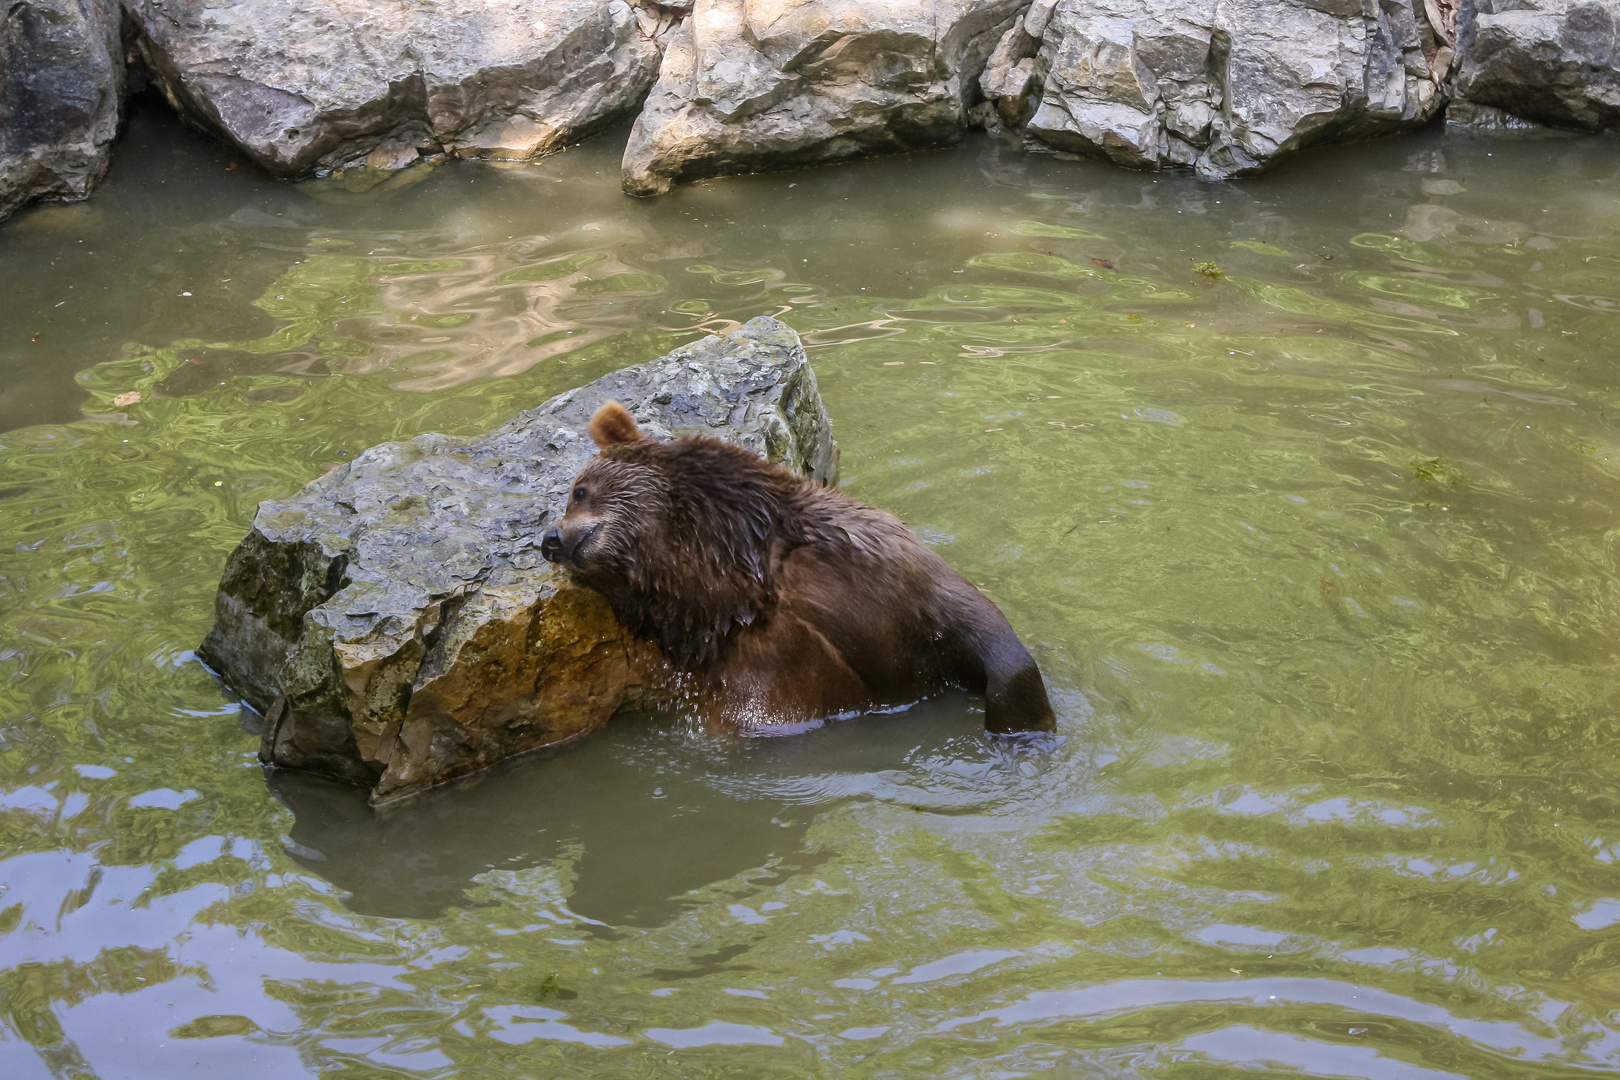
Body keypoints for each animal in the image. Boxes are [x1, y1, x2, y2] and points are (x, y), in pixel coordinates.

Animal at [537, 403, 1056, 735]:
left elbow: (989, 639)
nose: (551, 540)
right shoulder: (753, 671)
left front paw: (1023, 731)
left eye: (578, 490)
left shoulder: (884, 570)